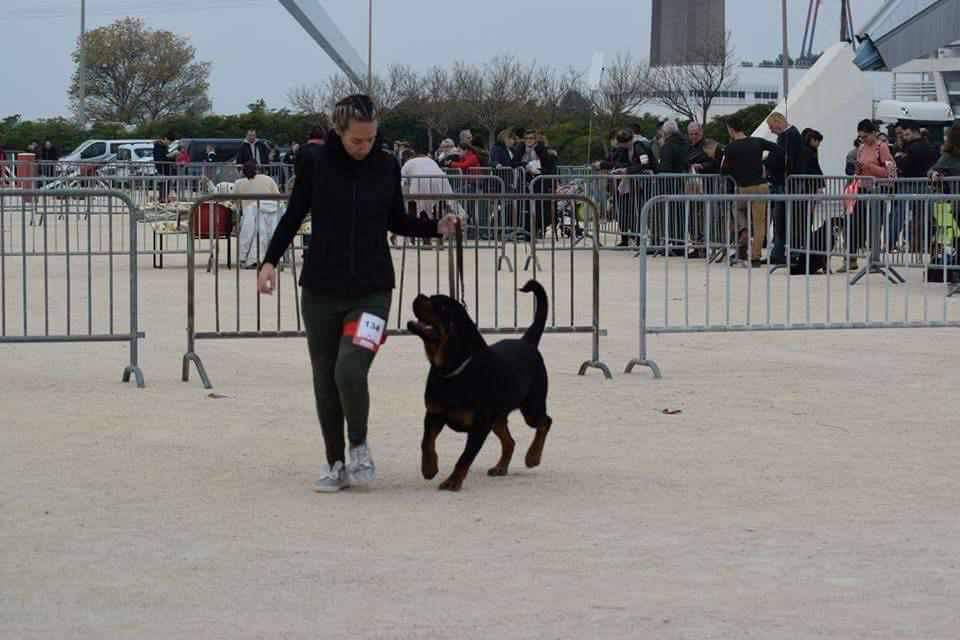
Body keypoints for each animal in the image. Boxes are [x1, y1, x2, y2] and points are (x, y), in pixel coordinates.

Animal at [406, 278, 556, 492]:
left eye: (440, 306)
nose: (419, 295)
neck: (451, 369)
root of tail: (527, 342)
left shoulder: (480, 425)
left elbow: (465, 457)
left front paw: (453, 481)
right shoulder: (434, 414)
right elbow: (426, 442)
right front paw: (429, 468)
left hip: (531, 408)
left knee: (545, 422)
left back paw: (533, 456)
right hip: (498, 416)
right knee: (510, 441)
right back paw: (501, 467)